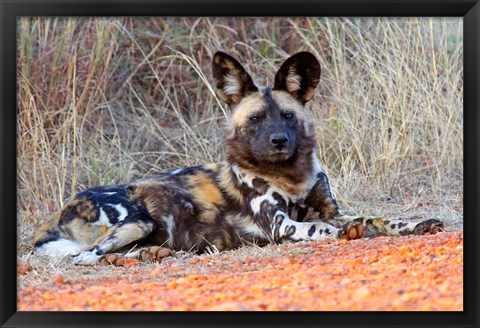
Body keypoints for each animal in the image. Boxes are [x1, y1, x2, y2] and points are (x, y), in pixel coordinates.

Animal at [34, 52, 442, 266]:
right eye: (256, 119)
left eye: (288, 116)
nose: (279, 141)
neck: (289, 174)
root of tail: (57, 211)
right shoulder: (280, 226)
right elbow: (321, 228)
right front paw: (343, 234)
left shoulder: (331, 210)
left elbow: (377, 218)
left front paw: (417, 224)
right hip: (134, 221)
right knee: (85, 256)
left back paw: (149, 255)